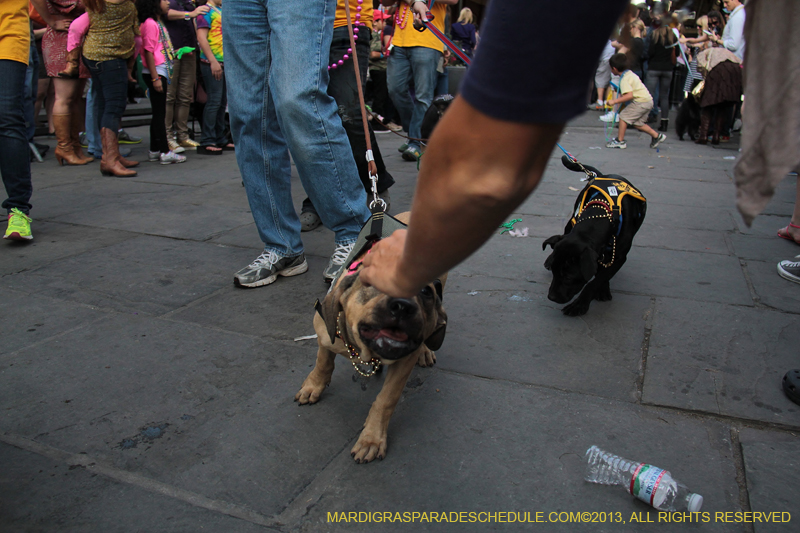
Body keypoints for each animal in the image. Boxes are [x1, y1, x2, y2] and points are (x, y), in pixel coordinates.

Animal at [294, 212, 446, 462]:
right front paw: (313, 385)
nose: (402, 306)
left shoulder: (403, 363)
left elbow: (386, 399)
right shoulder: (324, 332)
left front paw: (371, 438)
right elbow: (323, 361)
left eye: (425, 291)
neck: (366, 350)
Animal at [540, 158, 648, 316]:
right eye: (554, 272)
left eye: (568, 277)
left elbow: (597, 280)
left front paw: (580, 305)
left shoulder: (619, 257)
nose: (551, 297)